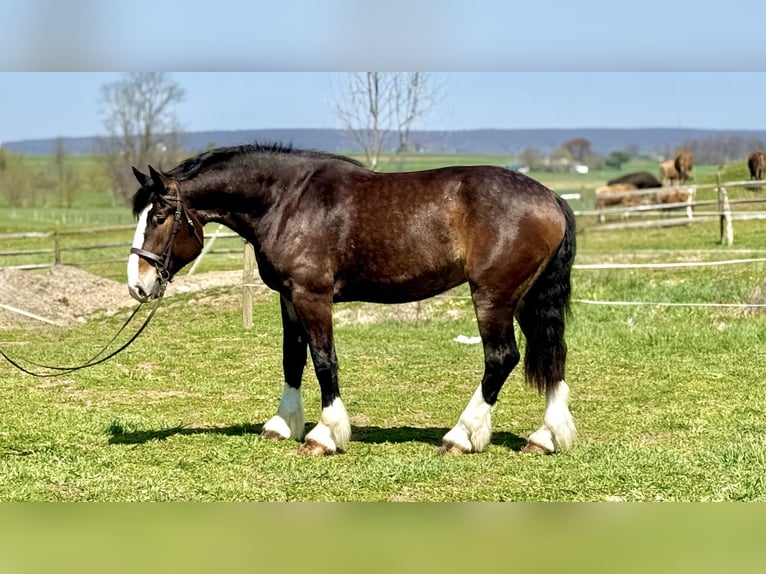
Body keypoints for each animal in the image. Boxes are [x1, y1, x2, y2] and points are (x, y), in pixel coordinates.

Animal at [127, 143, 577, 457]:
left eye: (159, 217)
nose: (138, 285)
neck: (288, 201)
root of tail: (552, 198)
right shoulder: (289, 298)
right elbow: (293, 358)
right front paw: (282, 425)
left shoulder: (313, 296)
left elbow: (324, 360)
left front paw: (324, 434)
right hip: (527, 298)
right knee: (554, 354)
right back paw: (545, 437)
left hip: (493, 297)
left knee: (501, 358)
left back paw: (461, 436)